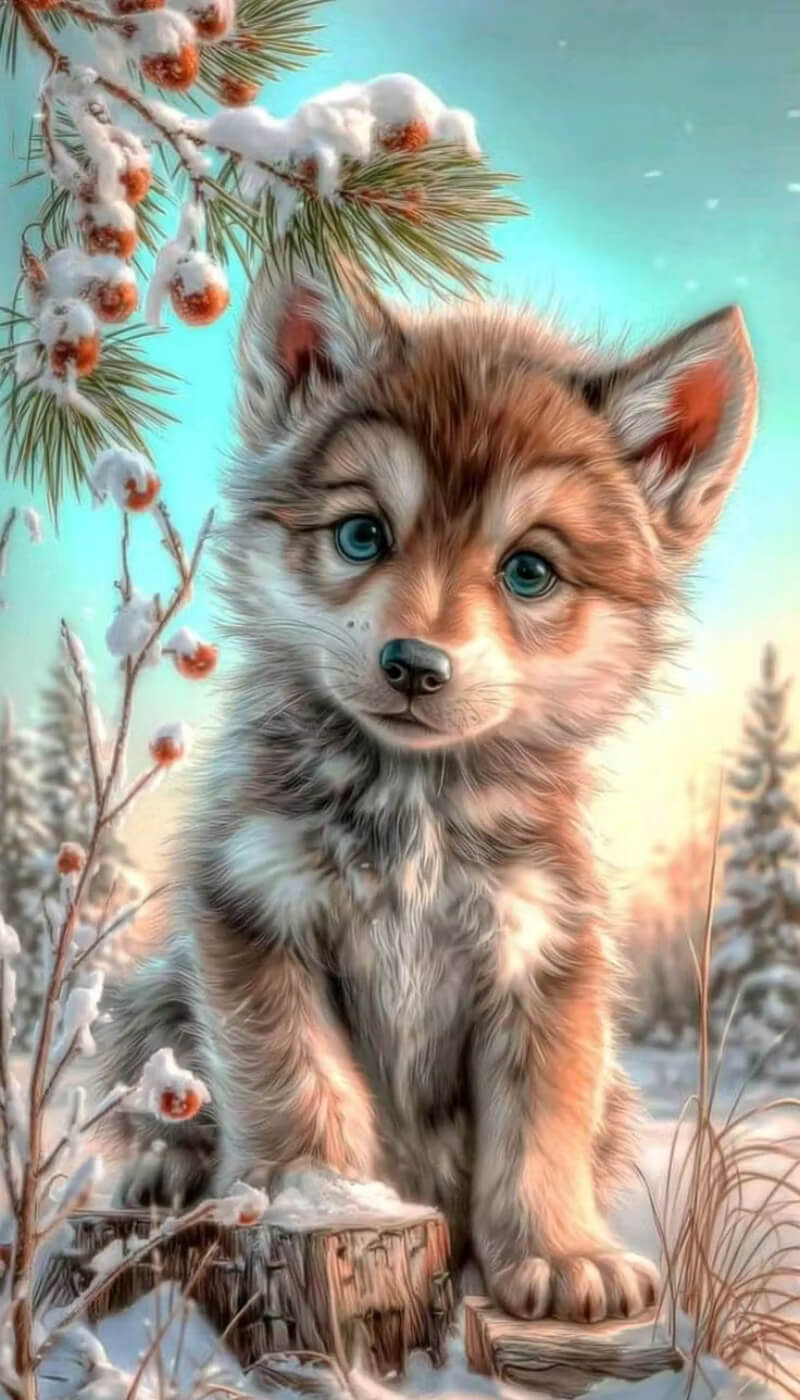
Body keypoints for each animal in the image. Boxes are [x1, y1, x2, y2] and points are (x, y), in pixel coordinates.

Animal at [98, 261, 757, 1323]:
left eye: (529, 571)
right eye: (363, 536)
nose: (415, 664)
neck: (415, 811)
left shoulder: (545, 954)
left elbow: (539, 1128)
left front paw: (561, 1254)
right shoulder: (255, 912)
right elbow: (297, 1079)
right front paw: (315, 1195)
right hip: (155, 1000)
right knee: (173, 1108)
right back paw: (169, 1175)